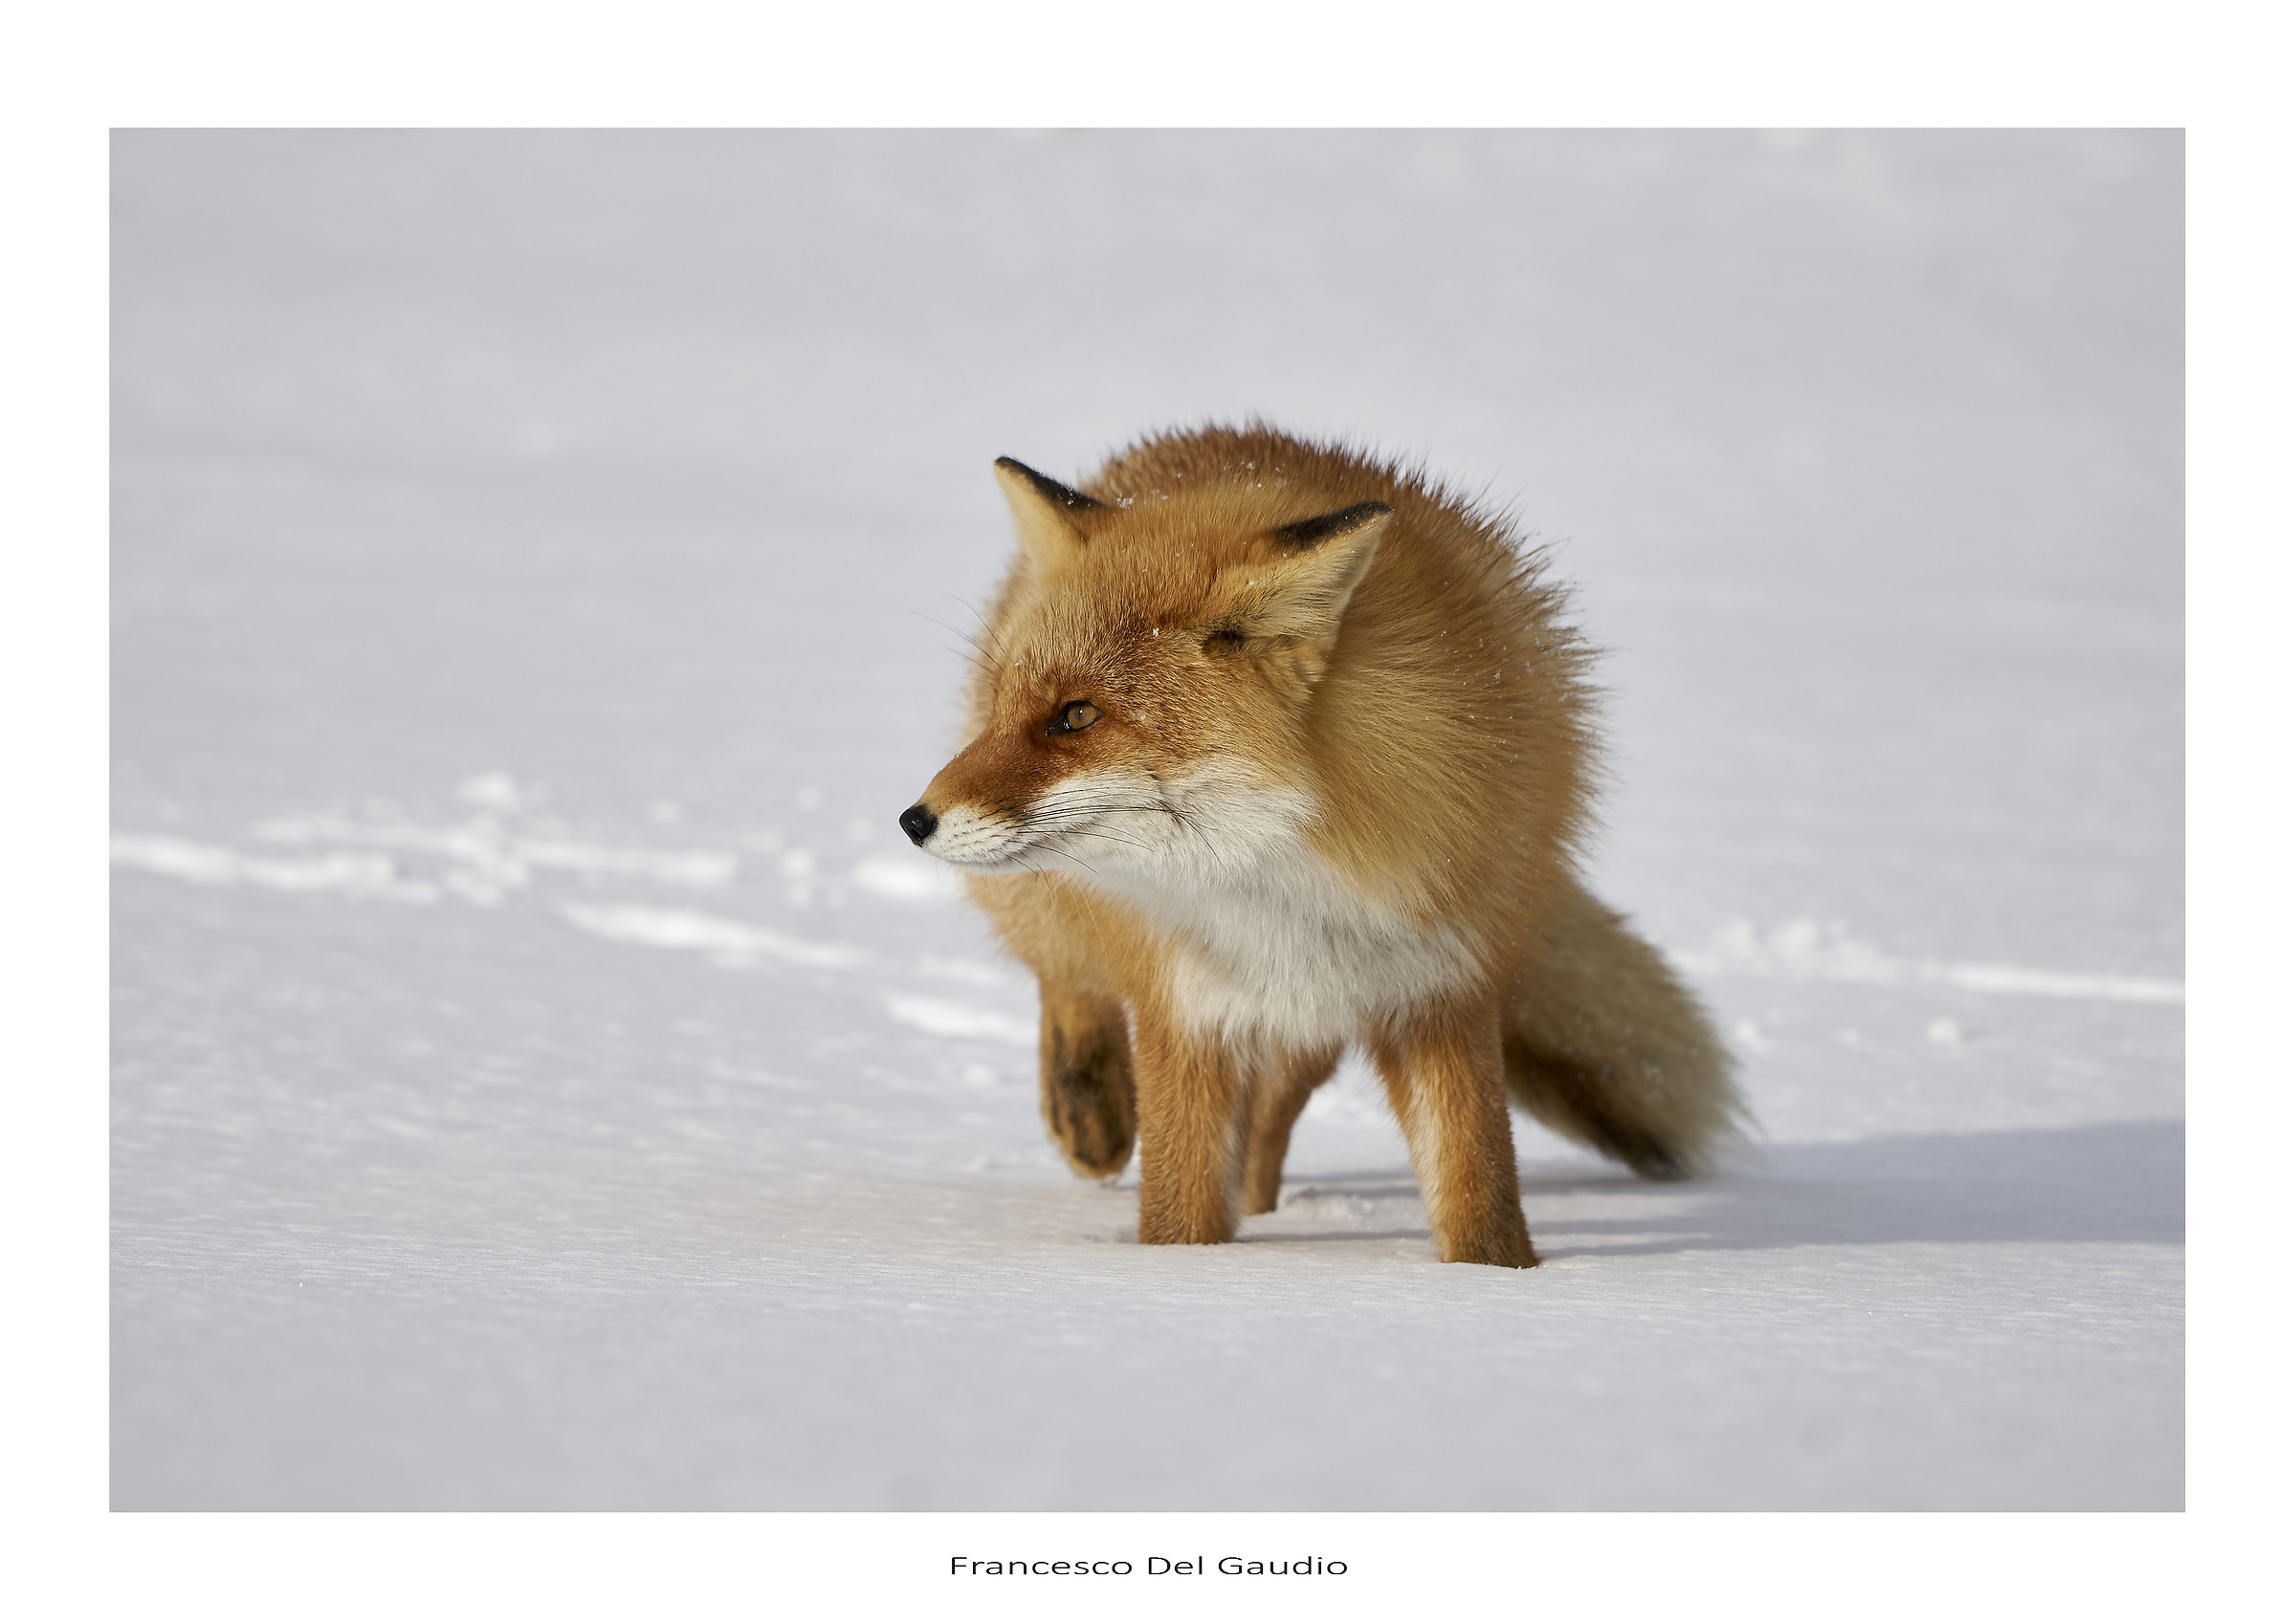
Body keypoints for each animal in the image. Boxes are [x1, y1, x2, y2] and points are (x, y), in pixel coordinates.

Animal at [899, 424, 1741, 1267]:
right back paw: (1091, 1113)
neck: (1297, 884)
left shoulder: (1442, 989)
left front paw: (1493, 1282)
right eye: (1009, 705)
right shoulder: (1184, 1005)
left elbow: (1479, 1194)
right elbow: (1177, 1209)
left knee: (1267, 1119)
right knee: (1066, 974)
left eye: (1076, 715)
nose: (913, 819)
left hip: (1314, 1030)